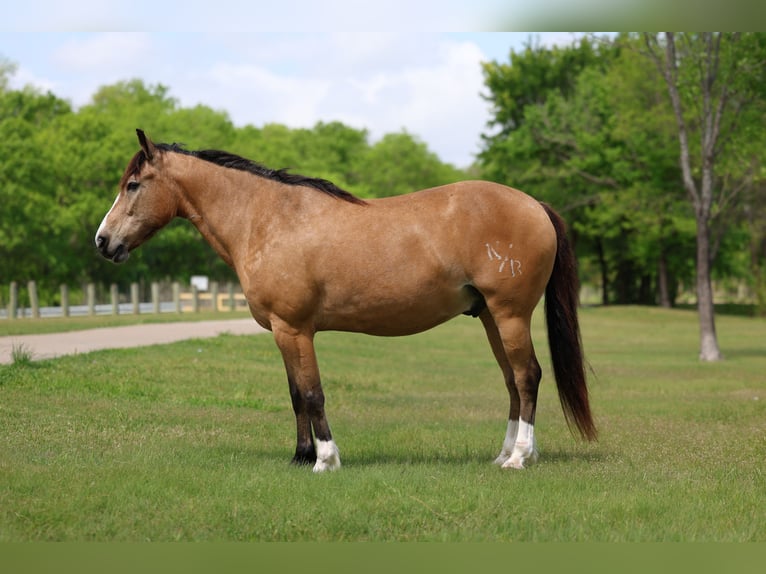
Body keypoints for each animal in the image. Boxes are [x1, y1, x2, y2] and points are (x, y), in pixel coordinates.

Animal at [95, 129, 596, 472]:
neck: (268, 219)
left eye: (133, 185)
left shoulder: (295, 329)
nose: (103, 241)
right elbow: (295, 394)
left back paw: (520, 457)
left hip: (510, 315)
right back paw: (505, 453)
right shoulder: (283, 332)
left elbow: (312, 393)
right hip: (491, 317)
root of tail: (534, 204)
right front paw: (301, 455)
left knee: (528, 376)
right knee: (512, 381)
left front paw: (325, 458)